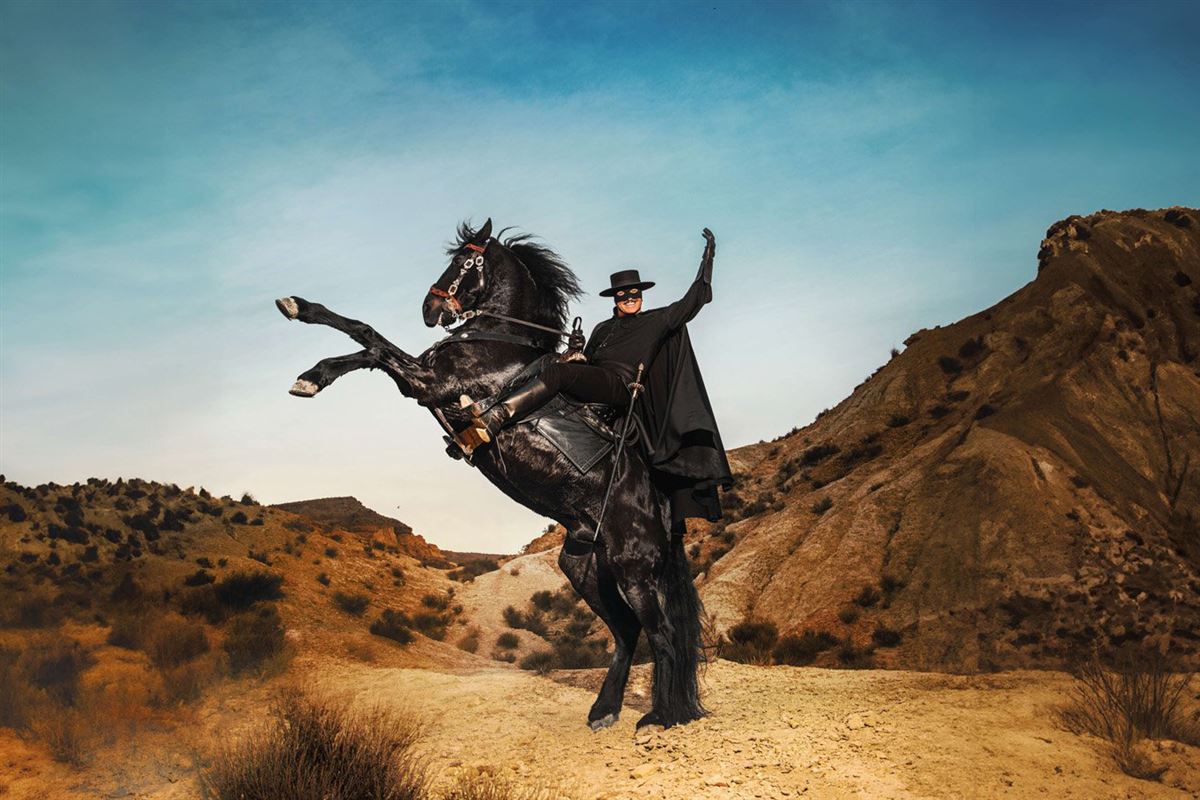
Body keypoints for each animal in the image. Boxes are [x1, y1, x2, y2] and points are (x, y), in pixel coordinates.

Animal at [276, 219, 705, 734]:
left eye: (465, 261)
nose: (431, 309)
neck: (502, 342)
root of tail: (661, 504)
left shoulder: (429, 383)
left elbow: (369, 336)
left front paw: (302, 321)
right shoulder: (421, 379)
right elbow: (366, 348)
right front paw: (310, 368)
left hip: (633, 568)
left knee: (661, 634)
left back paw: (662, 718)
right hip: (583, 565)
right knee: (626, 632)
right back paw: (605, 710)